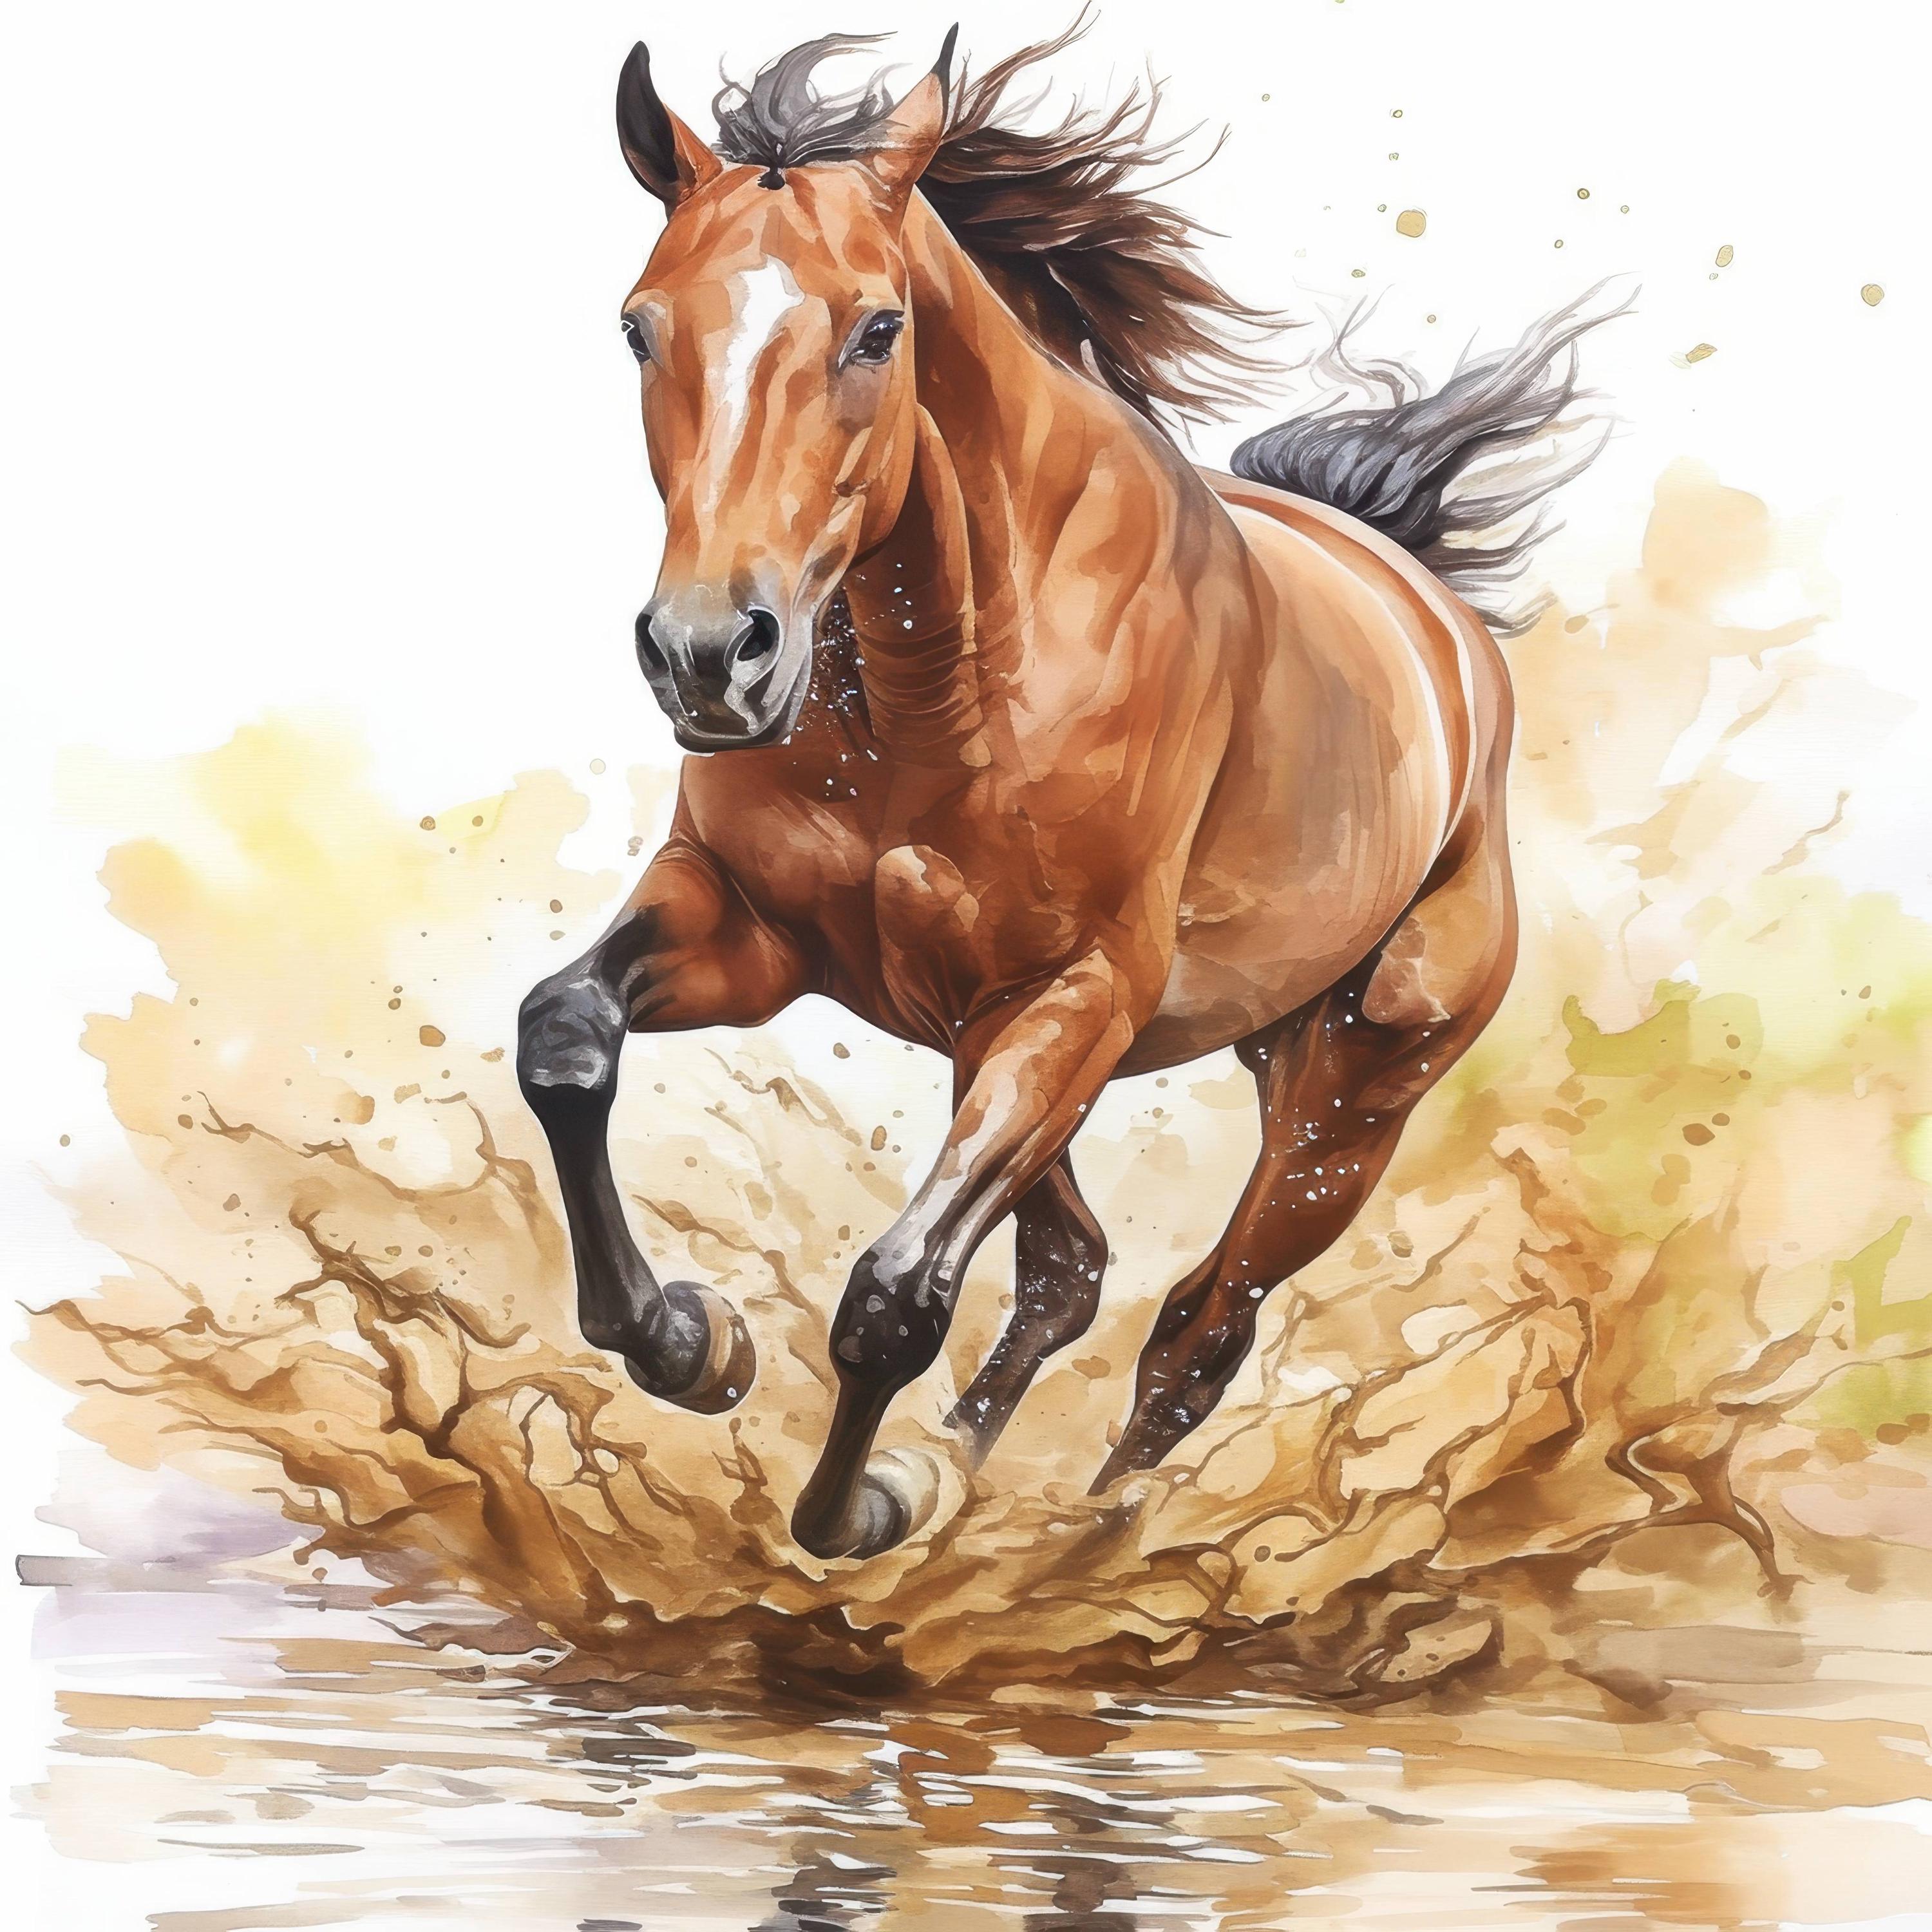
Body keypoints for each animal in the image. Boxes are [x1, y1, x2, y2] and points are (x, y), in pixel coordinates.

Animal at [516, 24, 1609, 1561]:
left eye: (877, 329)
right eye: (639, 326)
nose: (709, 656)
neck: (938, 687)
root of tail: (1433, 617)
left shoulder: (1079, 992)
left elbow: (896, 1296)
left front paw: (855, 1508)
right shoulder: (754, 930)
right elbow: (563, 1037)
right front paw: (691, 1339)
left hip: (1344, 1093)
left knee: (1199, 1329)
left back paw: (1091, 1545)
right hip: (1037, 1039)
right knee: (1075, 1271)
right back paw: (966, 1476)